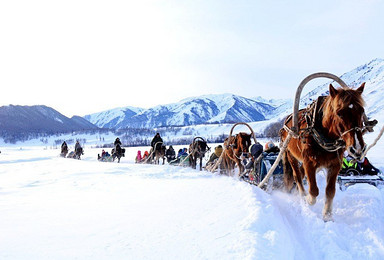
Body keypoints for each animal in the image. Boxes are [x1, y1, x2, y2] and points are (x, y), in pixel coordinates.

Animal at [282, 84, 366, 221]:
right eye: (339, 113)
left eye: (362, 111)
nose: (358, 148)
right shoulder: (309, 163)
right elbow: (314, 191)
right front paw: (308, 199)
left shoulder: (335, 164)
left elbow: (330, 191)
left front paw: (327, 216)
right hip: (290, 154)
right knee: (297, 176)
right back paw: (302, 194)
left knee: (301, 173)